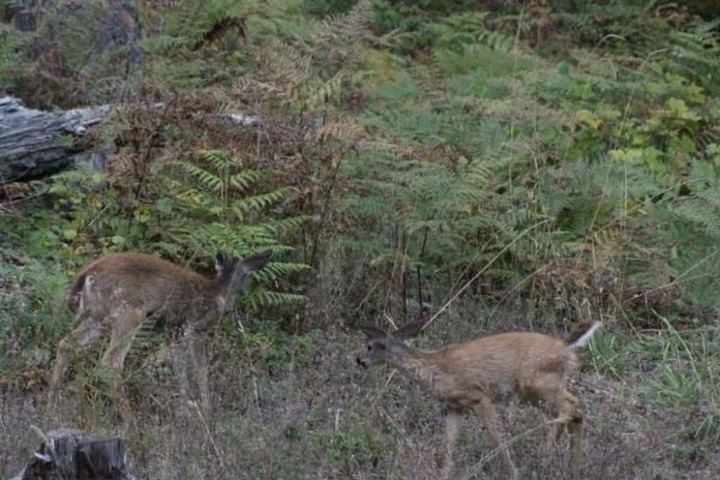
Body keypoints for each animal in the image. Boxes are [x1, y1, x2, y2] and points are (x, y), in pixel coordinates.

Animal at [47, 248, 272, 424]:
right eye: (245, 275)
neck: (216, 295)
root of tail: (86, 274)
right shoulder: (194, 328)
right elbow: (200, 368)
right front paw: (207, 411)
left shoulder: (173, 331)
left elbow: (179, 367)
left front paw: (186, 409)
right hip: (128, 312)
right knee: (111, 362)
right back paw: (130, 419)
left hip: (97, 316)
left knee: (67, 344)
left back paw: (52, 404)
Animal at [352, 316, 600, 478]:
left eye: (370, 346)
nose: (359, 360)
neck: (436, 370)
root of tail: (567, 347)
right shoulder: (454, 406)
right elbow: (448, 442)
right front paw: (444, 474)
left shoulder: (479, 396)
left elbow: (496, 435)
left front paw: (513, 472)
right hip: (534, 391)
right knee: (570, 412)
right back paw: (565, 468)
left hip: (537, 382)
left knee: (572, 406)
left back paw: (544, 456)